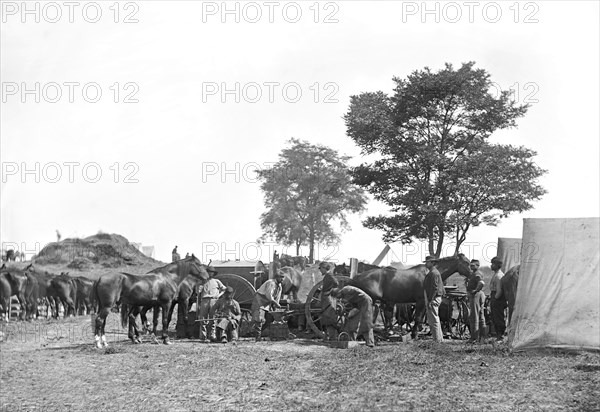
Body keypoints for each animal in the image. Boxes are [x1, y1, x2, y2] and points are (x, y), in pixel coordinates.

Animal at [346, 254, 474, 338]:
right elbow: (418, 318)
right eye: (466, 263)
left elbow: (420, 318)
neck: (428, 273)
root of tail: (356, 277)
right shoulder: (421, 301)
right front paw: (414, 334)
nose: (473, 274)